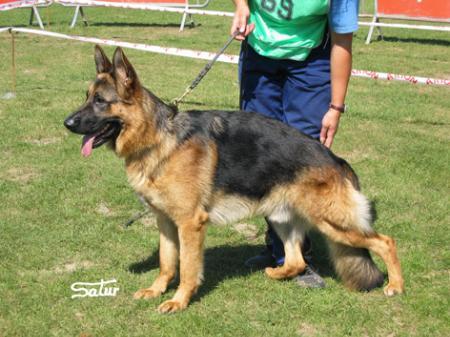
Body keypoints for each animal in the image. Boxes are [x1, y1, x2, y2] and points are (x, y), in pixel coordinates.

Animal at [65, 46, 406, 312]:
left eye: (100, 101)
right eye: (86, 97)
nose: (66, 122)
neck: (159, 137)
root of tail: (335, 159)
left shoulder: (190, 224)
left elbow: (187, 268)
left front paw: (179, 301)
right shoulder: (165, 221)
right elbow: (166, 262)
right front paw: (156, 290)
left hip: (332, 222)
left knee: (385, 242)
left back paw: (396, 286)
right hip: (281, 217)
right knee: (295, 260)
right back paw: (276, 273)